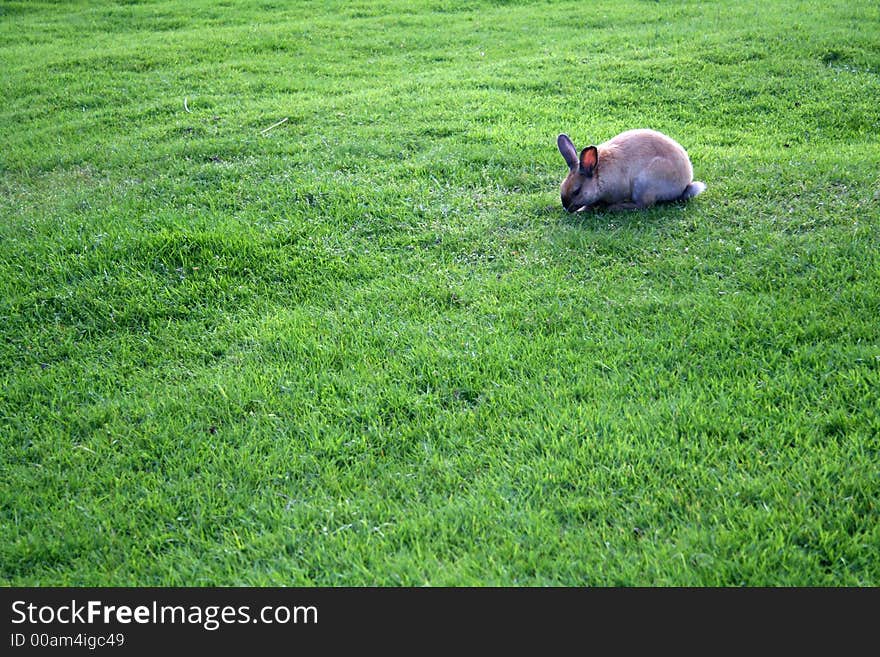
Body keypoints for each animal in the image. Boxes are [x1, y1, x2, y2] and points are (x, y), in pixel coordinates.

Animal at [556, 127, 708, 211]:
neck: (599, 175)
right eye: (562, 186)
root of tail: (685, 185)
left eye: (577, 191)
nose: (566, 208)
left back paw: (616, 208)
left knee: (645, 204)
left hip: (644, 183)